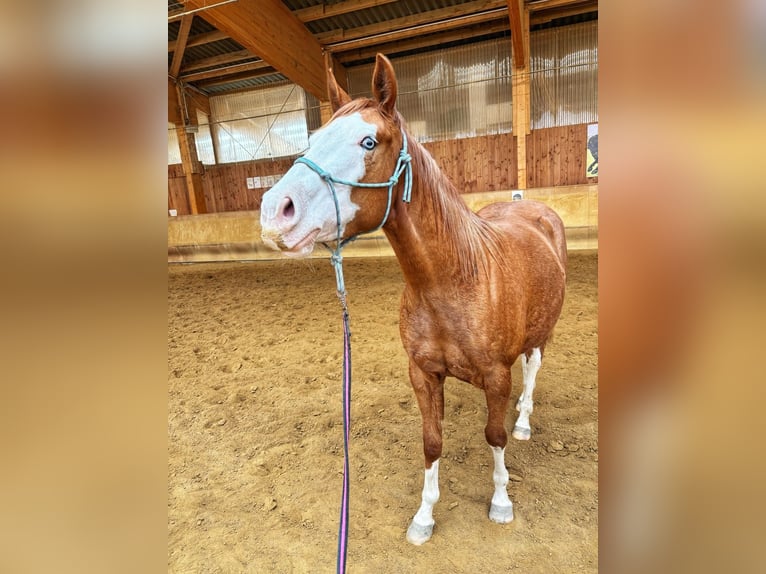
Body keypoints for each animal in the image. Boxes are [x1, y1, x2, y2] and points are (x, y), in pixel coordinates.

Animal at [260, 54, 567, 545]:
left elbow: (495, 435)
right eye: (313, 139)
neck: (452, 280)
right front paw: (423, 516)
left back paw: (524, 420)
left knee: (532, 369)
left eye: (369, 141)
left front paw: (501, 502)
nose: (275, 212)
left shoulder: (496, 377)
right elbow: (432, 441)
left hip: (542, 332)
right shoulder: (423, 374)